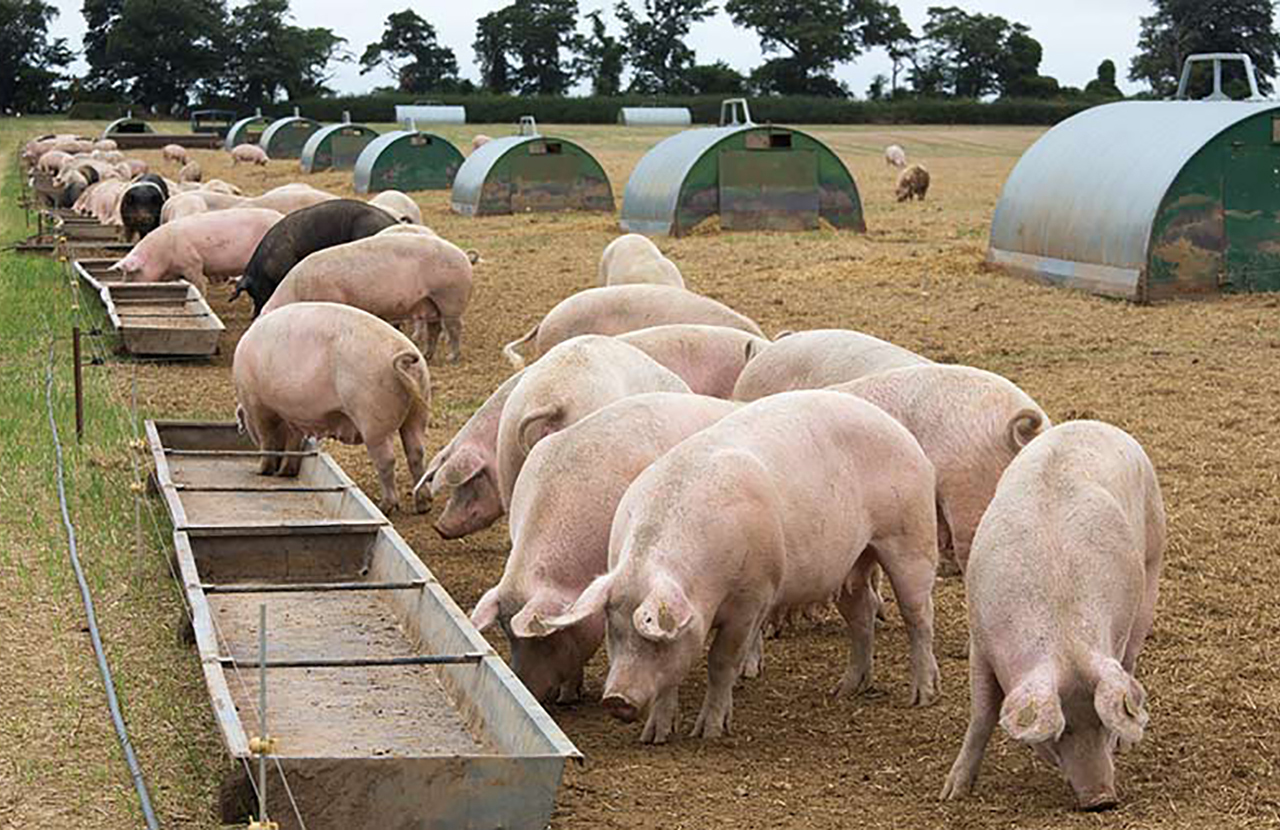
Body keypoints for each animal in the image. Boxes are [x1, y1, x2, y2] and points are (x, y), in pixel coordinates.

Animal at [234, 302, 432, 514]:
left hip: (372, 416)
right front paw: (286, 472)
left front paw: (262, 471)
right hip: (418, 409)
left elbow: (267, 441)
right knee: (417, 452)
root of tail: (404, 356)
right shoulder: (294, 416)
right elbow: (293, 443)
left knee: (387, 460)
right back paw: (423, 505)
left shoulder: (258, 407)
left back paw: (386, 506)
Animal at [259, 232, 473, 363]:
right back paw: (427, 355)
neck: (296, 293)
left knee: (454, 327)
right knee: (435, 328)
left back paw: (452, 358)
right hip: (430, 302)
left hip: (450, 296)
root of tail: (464, 257)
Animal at [536, 391, 942, 743]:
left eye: (652, 640)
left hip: (911, 537)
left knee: (919, 616)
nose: (616, 701)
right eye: (614, 630)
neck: (702, 585)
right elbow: (672, 677)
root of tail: (901, 431)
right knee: (862, 615)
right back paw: (845, 690)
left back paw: (922, 696)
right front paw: (655, 737)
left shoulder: (753, 597)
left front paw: (710, 732)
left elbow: (720, 663)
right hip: (849, 564)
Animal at [940, 421, 1165, 811]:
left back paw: (1127, 743)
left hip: (1152, 562)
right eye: (1061, 731)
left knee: (1132, 659)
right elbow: (982, 715)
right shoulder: (980, 640)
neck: (1065, 638)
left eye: (1102, 725)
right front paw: (951, 793)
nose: (1101, 799)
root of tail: (1091, 422)